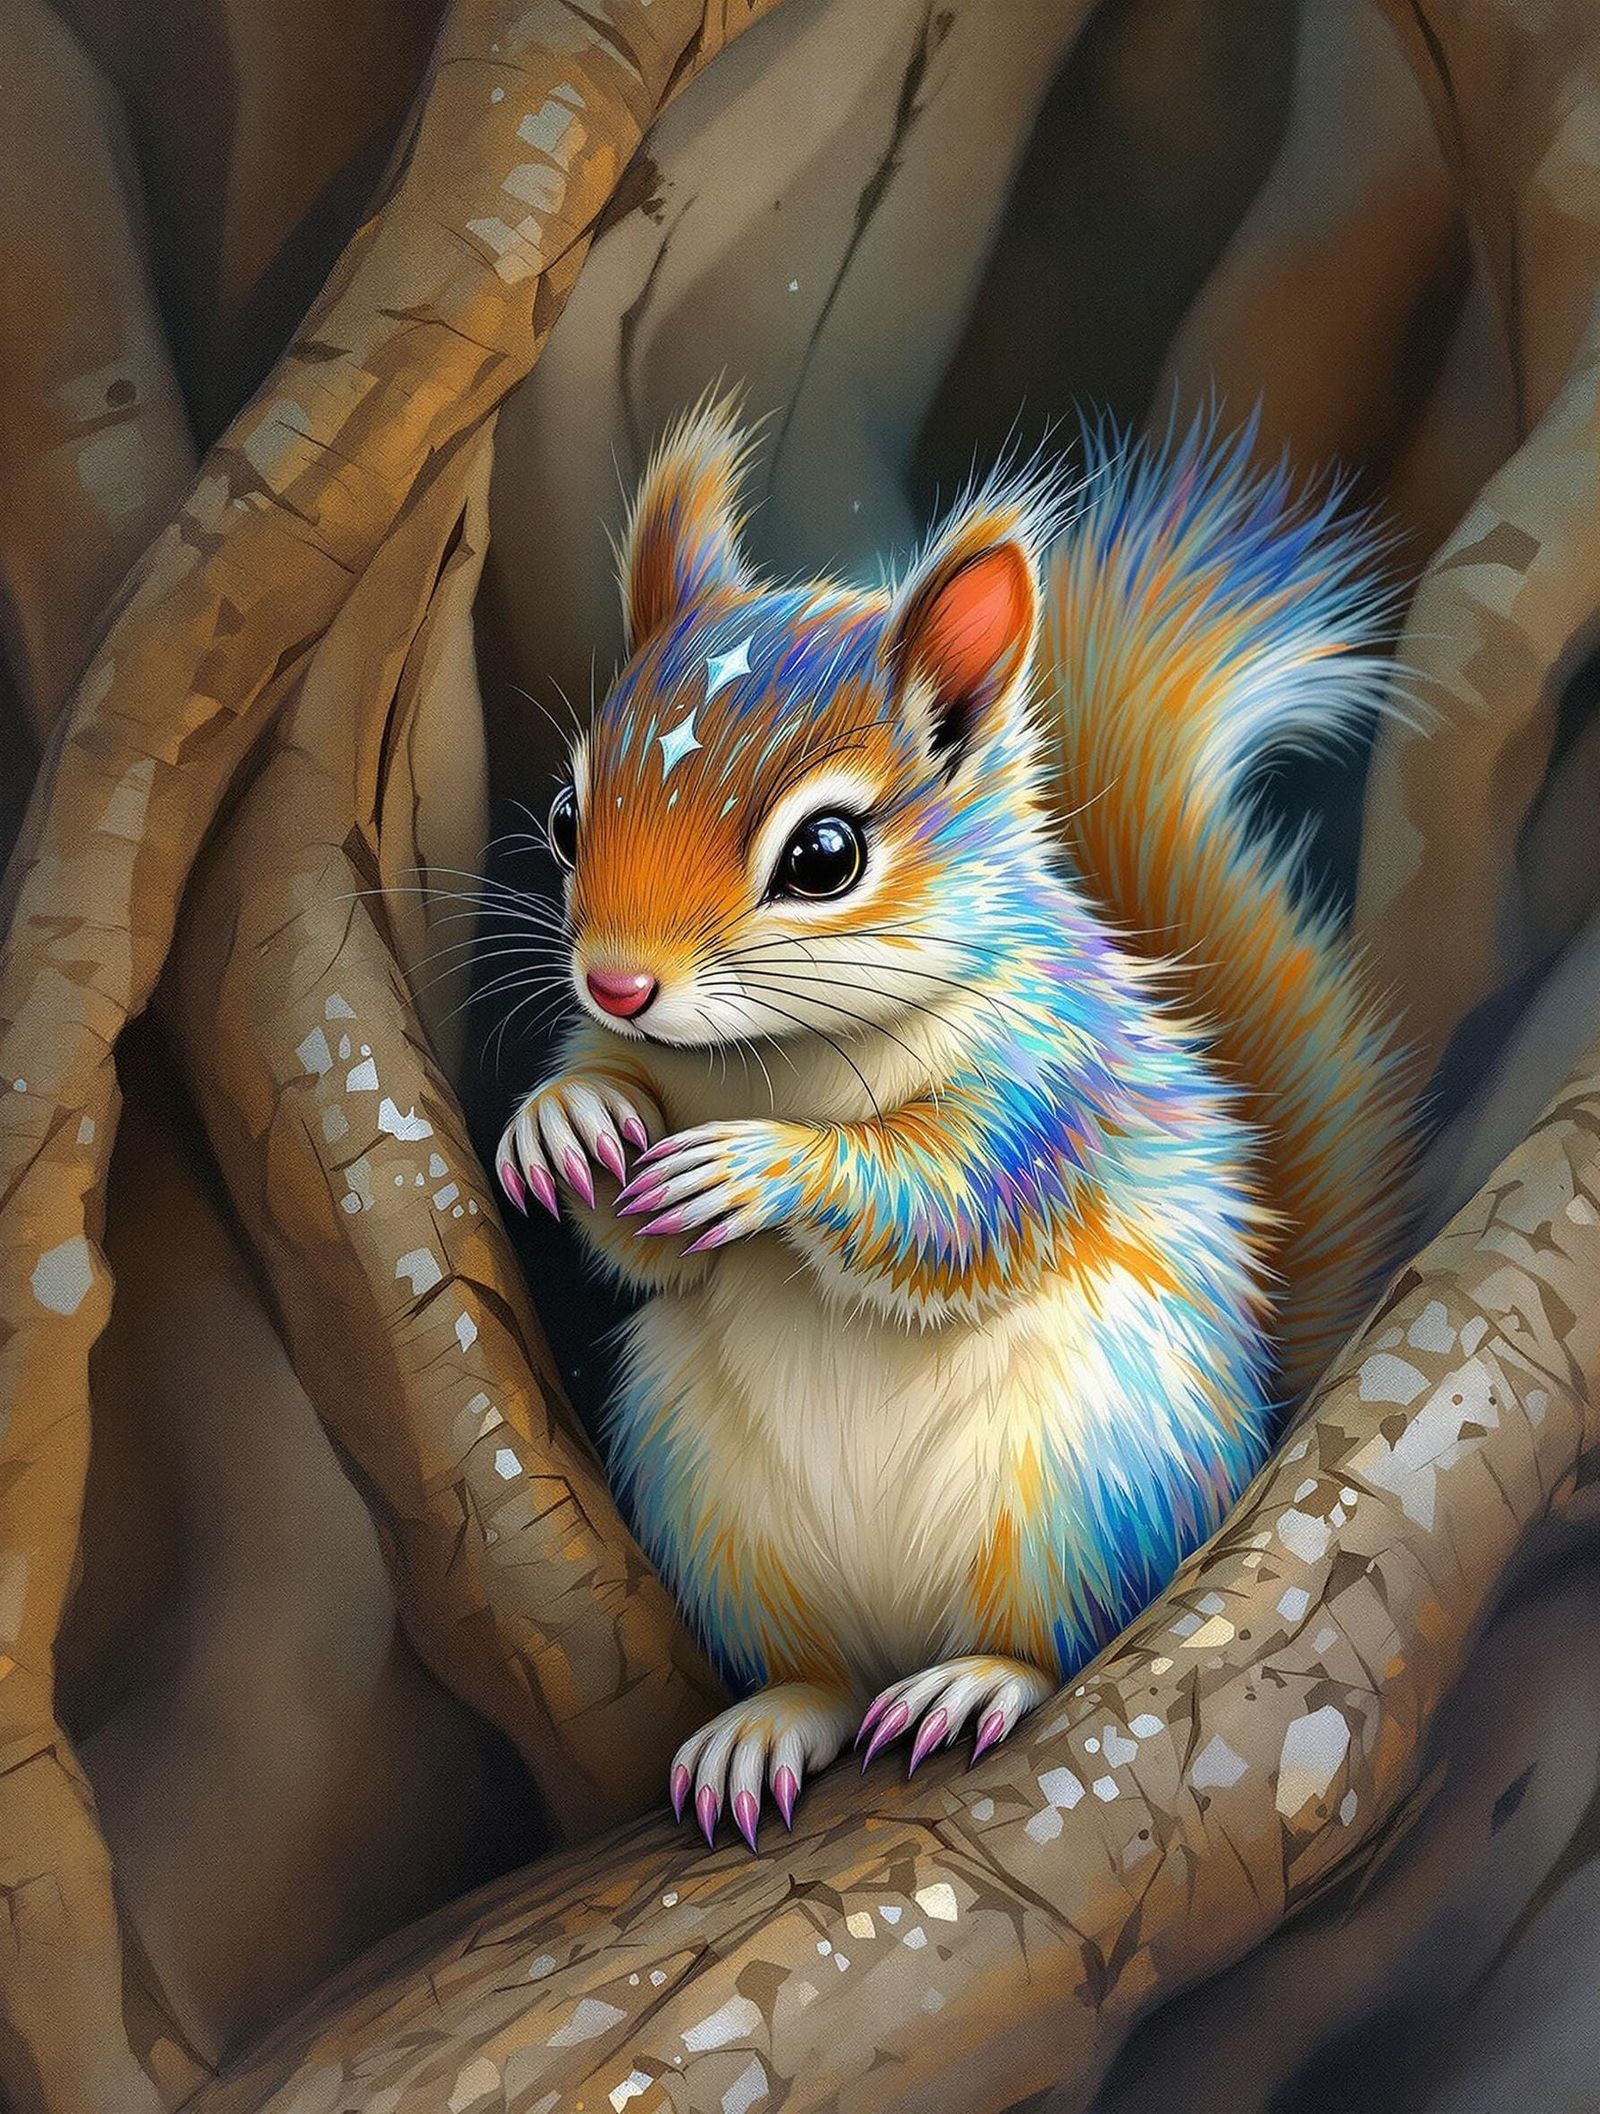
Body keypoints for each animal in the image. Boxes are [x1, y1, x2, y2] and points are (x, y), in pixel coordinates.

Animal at [496, 396, 1412, 1850]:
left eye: (824, 856)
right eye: (569, 813)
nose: (616, 984)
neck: (771, 1057)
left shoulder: (1050, 1083)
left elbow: (955, 1203)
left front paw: (761, 1168)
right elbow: (636, 1244)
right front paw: (562, 1116)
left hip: (1085, 1487)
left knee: (1060, 1635)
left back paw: (972, 1680)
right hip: (727, 1518)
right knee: (820, 1674)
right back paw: (772, 1720)